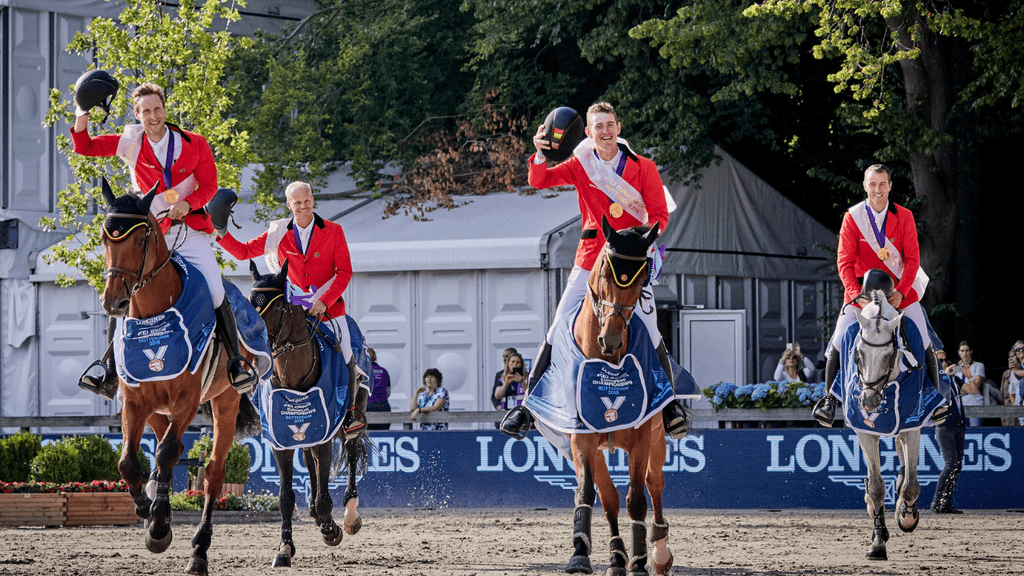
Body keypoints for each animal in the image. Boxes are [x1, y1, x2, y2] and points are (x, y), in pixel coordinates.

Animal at [98, 179, 262, 573]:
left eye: (139, 241)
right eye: (105, 239)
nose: (114, 303)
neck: (152, 317)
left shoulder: (188, 401)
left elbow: (169, 452)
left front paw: (158, 526)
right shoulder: (135, 401)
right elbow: (129, 462)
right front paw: (149, 514)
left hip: (225, 401)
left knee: (213, 472)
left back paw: (199, 550)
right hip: (158, 411)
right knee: (166, 454)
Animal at [245, 260, 370, 565]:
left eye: (277, 307)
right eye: (248, 303)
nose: (254, 347)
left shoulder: (326, 435)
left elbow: (326, 497)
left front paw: (331, 530)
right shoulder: (280, 442)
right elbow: (286, 497)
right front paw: (284, 548)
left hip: (353, 416)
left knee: (351, 454)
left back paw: (349, 516)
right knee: (309, 461)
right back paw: (314, 512)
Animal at [561, 216, 671, 573]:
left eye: (641, 281)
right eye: (605, 274)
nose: (610, 339)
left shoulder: (641, 438)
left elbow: (636, 499)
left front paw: (640, 561)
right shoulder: (581, 439)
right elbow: (588, 493)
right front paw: (580, 554)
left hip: (657, 440)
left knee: (655, 483)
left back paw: (658, 552)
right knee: (608, 497)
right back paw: (616, 557)